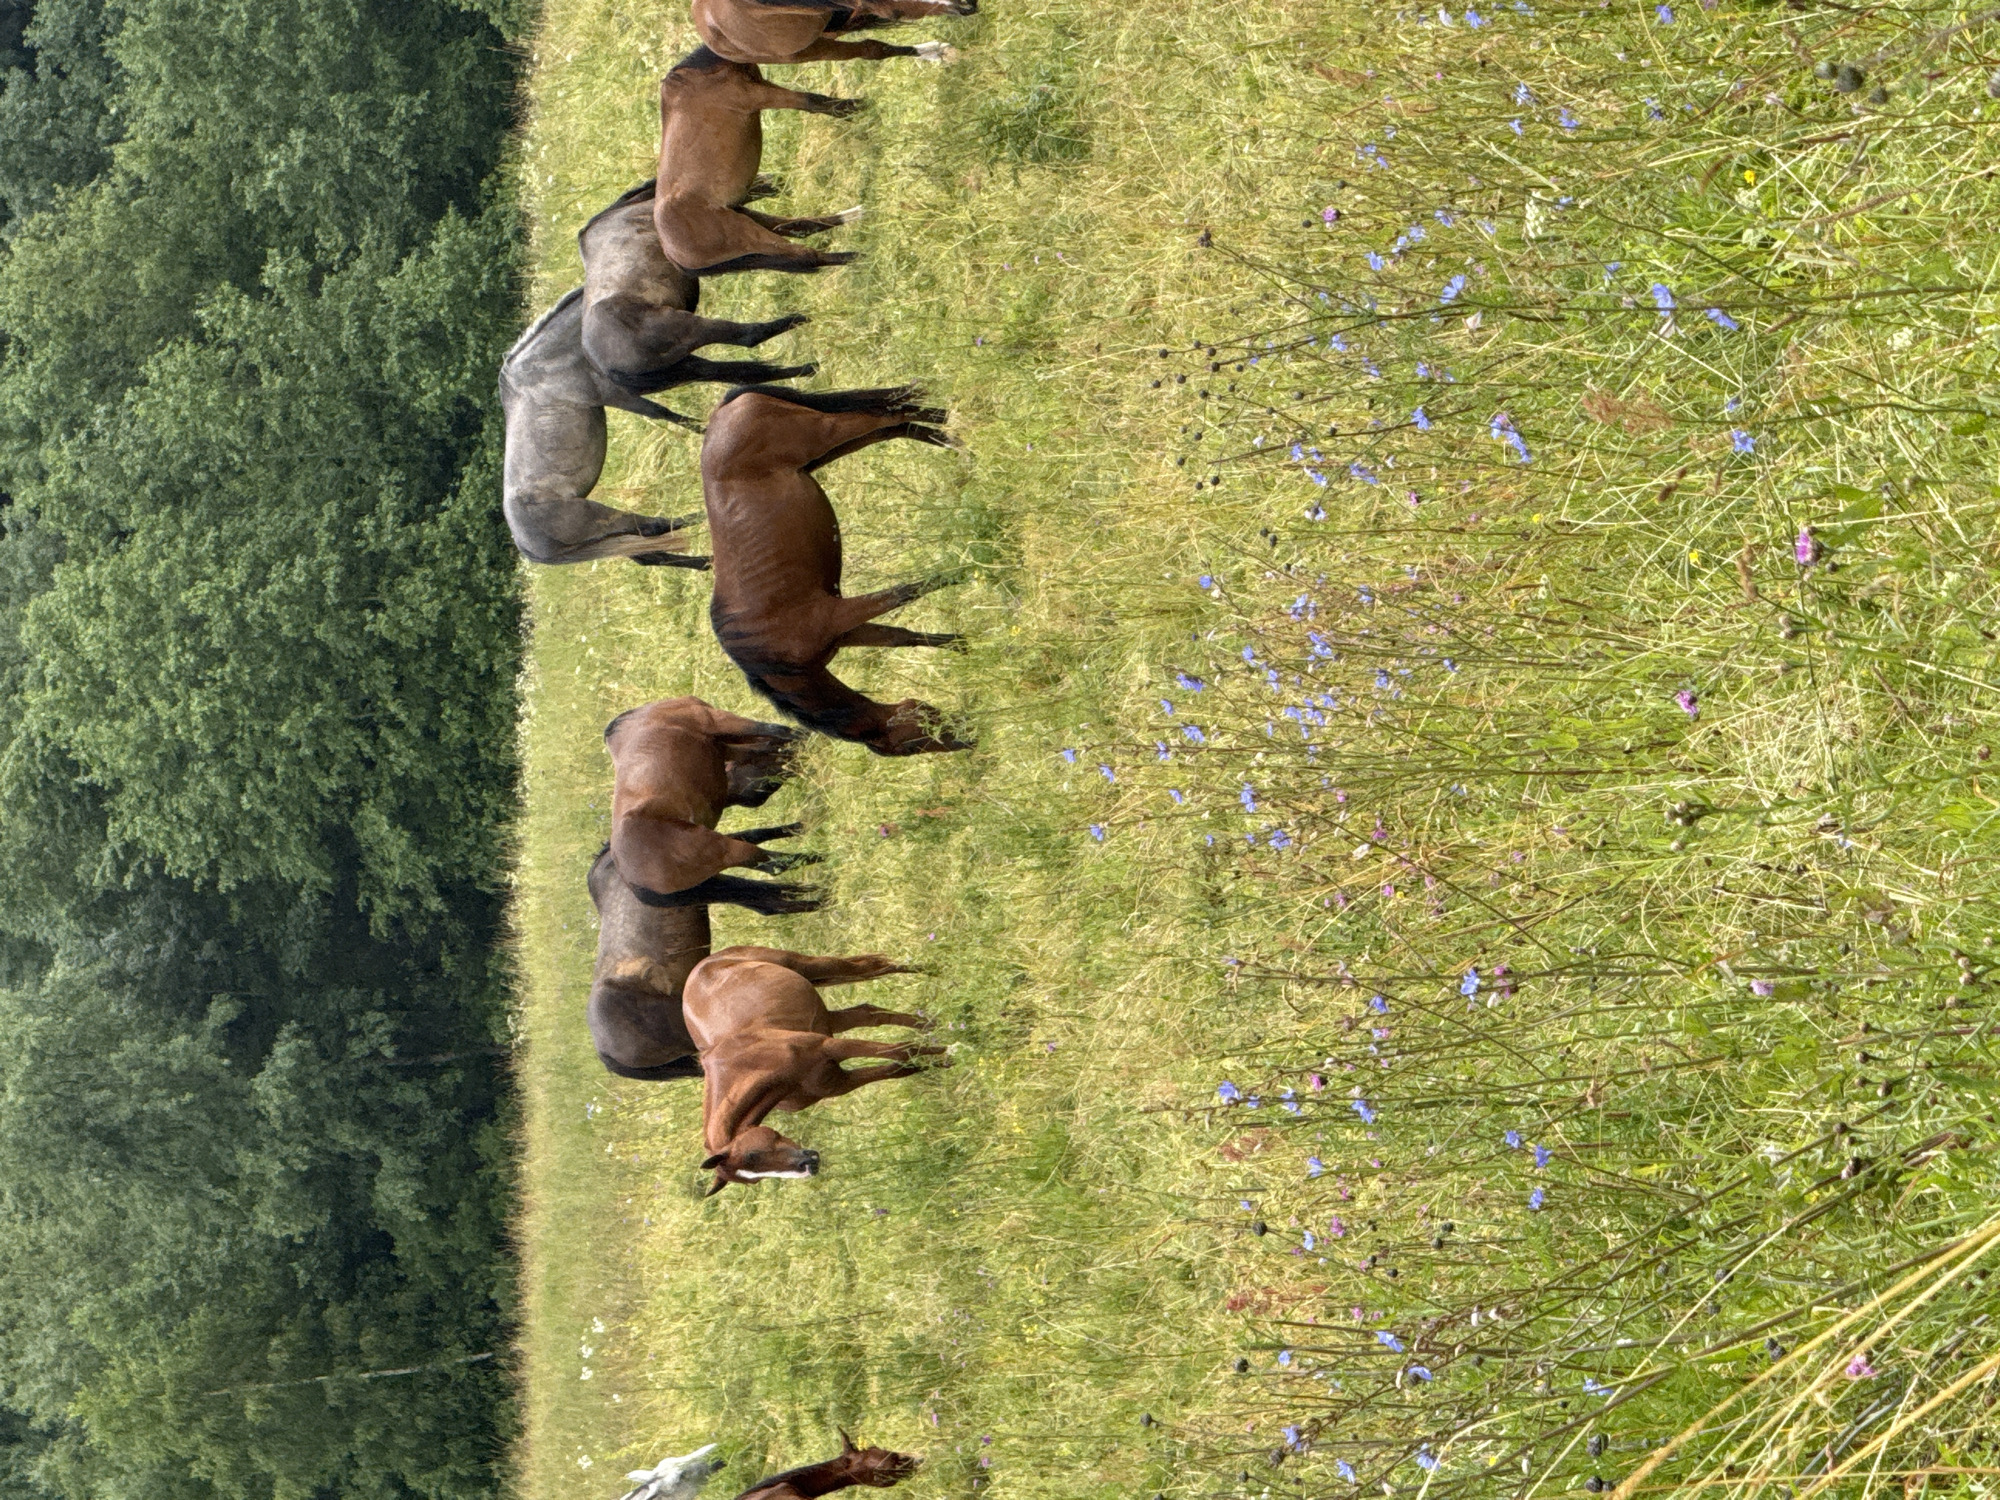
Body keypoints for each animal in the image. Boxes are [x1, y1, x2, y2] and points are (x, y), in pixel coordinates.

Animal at [497, 184, 815, 566]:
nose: (767, 186)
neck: (544, 368)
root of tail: (526, 545)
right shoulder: (612, 392)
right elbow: (663, 410)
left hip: (609, 541)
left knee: (651, 552)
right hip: (604, 519)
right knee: (651, 528)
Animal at [604, 697, 823, 911]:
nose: (801, 764)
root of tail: (632, 881)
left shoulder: (725, 746)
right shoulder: (719, 721)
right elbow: (776, 733)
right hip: (726, 849)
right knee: (775, 865)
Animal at [653, 48, 872, 278]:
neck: (696, 75)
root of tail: (672, 254)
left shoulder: (761, 84)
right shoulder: (758, 95)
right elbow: (812, 101)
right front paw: (862, 107)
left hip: (750, 217)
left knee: (800, 227)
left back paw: (859, 214)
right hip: (749, 235)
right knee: (808, 254)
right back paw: (862, 257)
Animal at [682, 945, 944, 1192]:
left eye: (752, 1155)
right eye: (755, 1179)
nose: (808, 1166)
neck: (751, 1062)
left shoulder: (830, 1047)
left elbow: (902, 1052)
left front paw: (949, 1052)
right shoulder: (839, 1081)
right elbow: (900, 1068)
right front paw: (937, 1063)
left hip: (812, 967)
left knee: (875, 967)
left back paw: (935, 971)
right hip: (827, 1018)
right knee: (869, 1011)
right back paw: (931, 1022)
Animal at [701, 385, 973, 755]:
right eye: (916, 744)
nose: (970, 736)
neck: (769, 655)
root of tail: (724, 410)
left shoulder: (838, 614)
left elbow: (904, 592)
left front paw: (968, 570)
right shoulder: (847, 632)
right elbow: (903, 636)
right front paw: (963, 644)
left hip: (829, 432)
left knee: (893, 413)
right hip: (834, 448)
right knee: (898, 424)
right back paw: (957, 438)